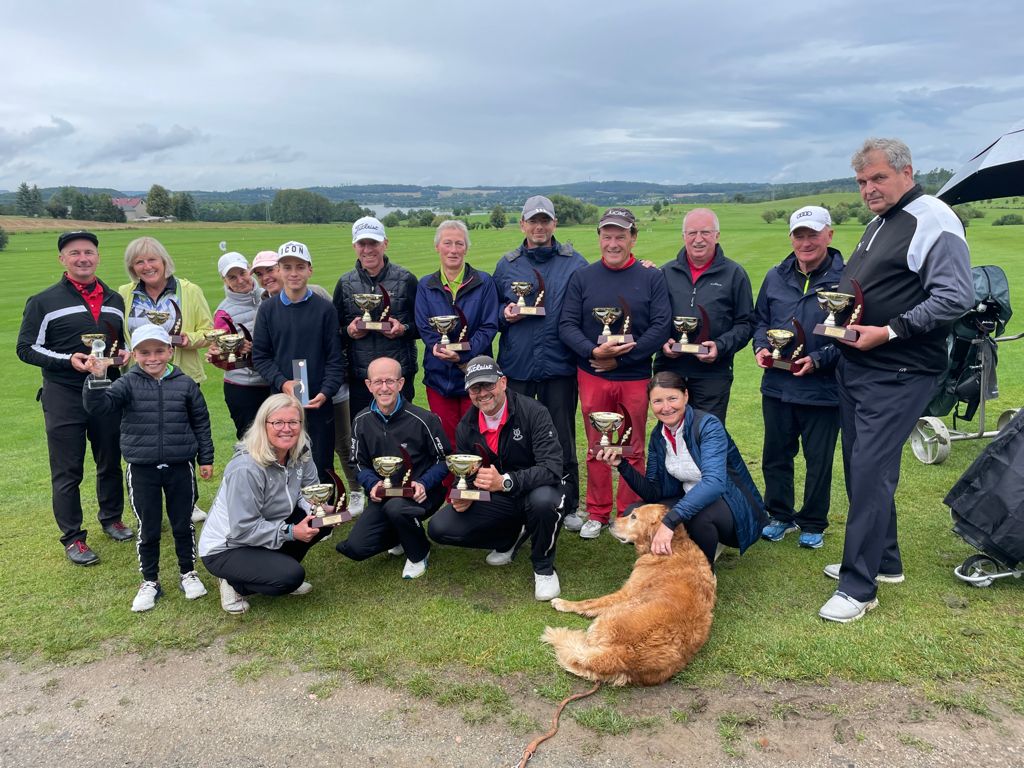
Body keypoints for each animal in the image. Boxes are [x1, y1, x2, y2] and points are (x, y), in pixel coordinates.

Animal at [540, 501, 716, 688]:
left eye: (634, 516)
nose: (610, 522)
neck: (676, 545)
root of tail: (623, 654)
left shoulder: (625, 594)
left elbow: (588, 602)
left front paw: (563, 603)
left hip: (607, 617)